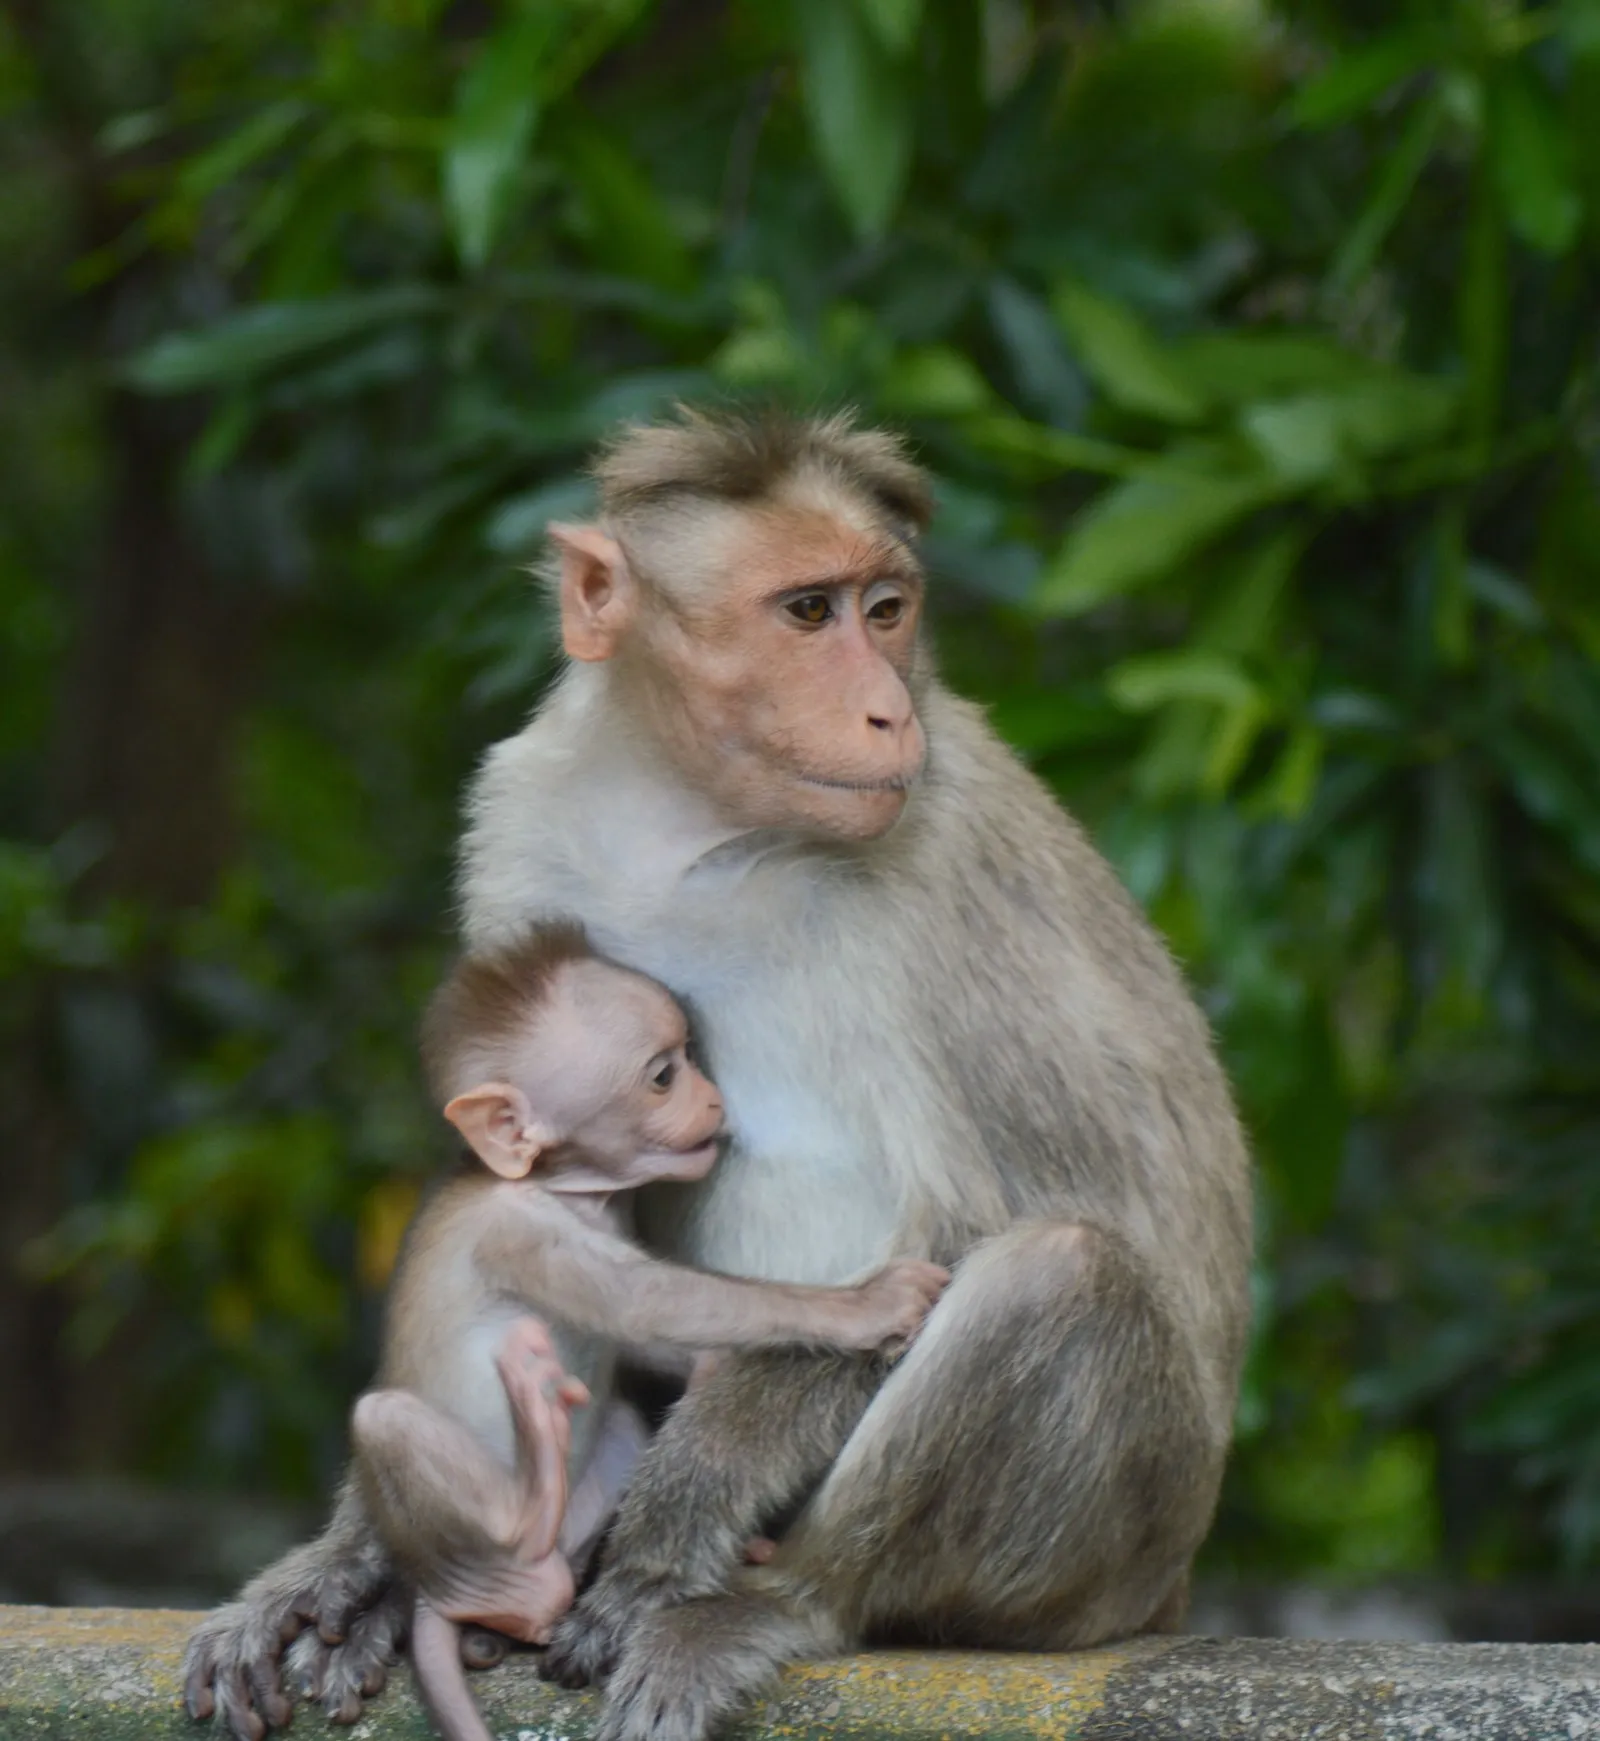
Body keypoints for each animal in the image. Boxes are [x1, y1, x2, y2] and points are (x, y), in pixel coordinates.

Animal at [348, 925, 950, 1741]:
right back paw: (523, 1531)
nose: (714, 1097)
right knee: (384, 1418)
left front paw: (713, 1373)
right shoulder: (518, 1230)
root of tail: (443, 1590)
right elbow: (644, 1298)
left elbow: (651, 1323)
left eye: (689, 1056)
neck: (562, 1186)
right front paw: (866, 1304)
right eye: (663, 1075)